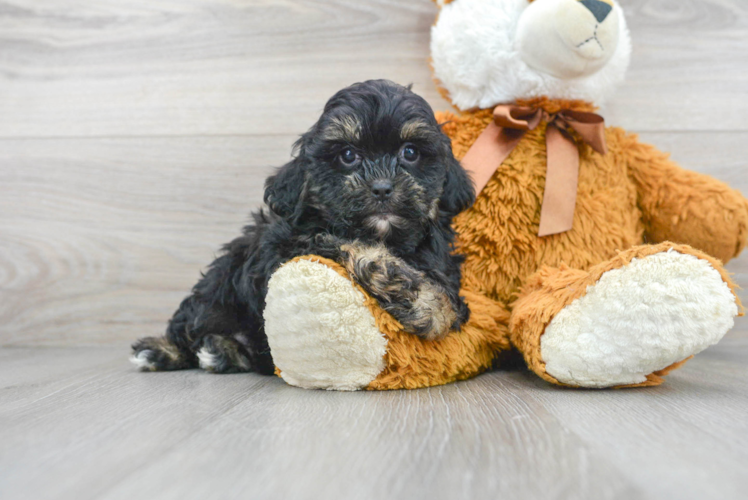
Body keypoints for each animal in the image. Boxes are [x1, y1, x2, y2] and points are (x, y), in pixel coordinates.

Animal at [130, 79, 474, 376]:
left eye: (410, 152)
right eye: (348, 155)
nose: (382, 187)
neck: (384, 235)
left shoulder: (444, 267)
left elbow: (448, 307)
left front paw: (421, 300)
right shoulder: (285, 244)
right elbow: (338, 240)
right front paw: (394, 277)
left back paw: (221, 350)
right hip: (220, 282)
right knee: (192, 320)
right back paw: (167, 350)